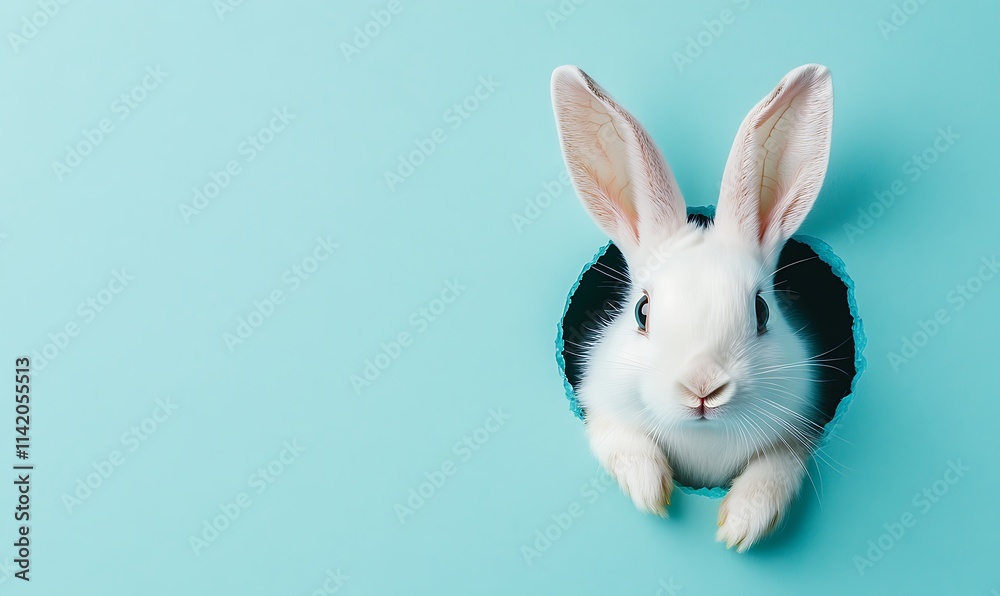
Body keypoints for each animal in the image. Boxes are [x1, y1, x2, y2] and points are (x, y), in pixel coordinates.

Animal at [550, 64, 834, 552]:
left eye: (762, 311)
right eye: (642, 311)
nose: (702, 388)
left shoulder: (800, 431)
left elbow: (775, 470)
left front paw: (740, 526)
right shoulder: (598, 405)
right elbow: (621, 441)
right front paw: (650, 490)